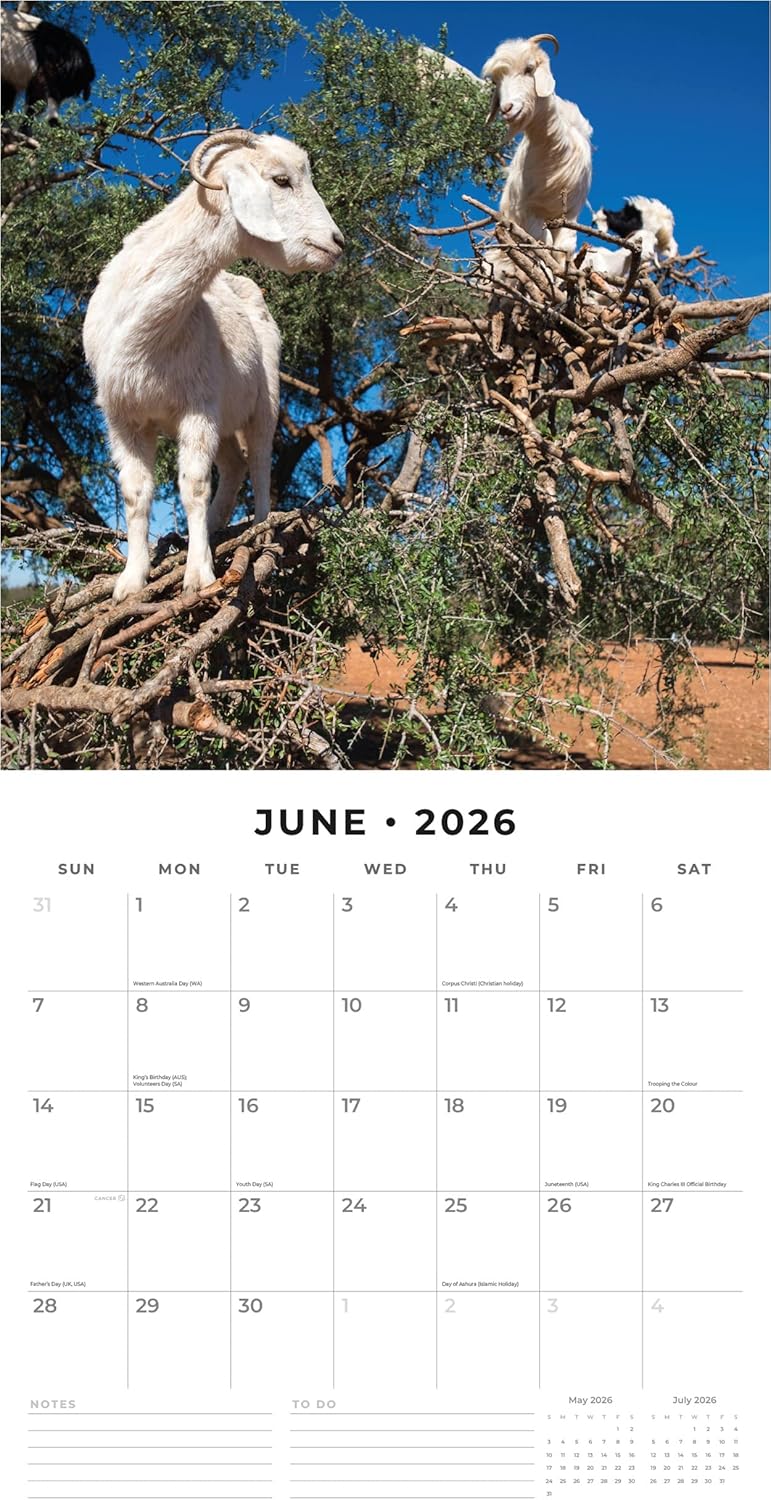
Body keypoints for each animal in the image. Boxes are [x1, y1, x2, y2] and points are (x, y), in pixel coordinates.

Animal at [83, 129, 344, 600]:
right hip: (225, 419)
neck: (149, 337)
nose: (337, 243)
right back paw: (214, 529)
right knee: (235, 465)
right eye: (281, 180)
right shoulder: (122, 417)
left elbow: (194, 486)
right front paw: (131, 580)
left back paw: (260, 532)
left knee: (259, 463)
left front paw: (199, 575)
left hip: (265, 401)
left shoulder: (198, 410)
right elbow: (136, 494)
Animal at [482, 34, 592, 257]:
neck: (554, 150)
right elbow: (542, 244)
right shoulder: (528, 212)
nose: (507, 109)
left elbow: (562, 249)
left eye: (529, 68)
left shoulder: (570, 215)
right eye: (496, 81)